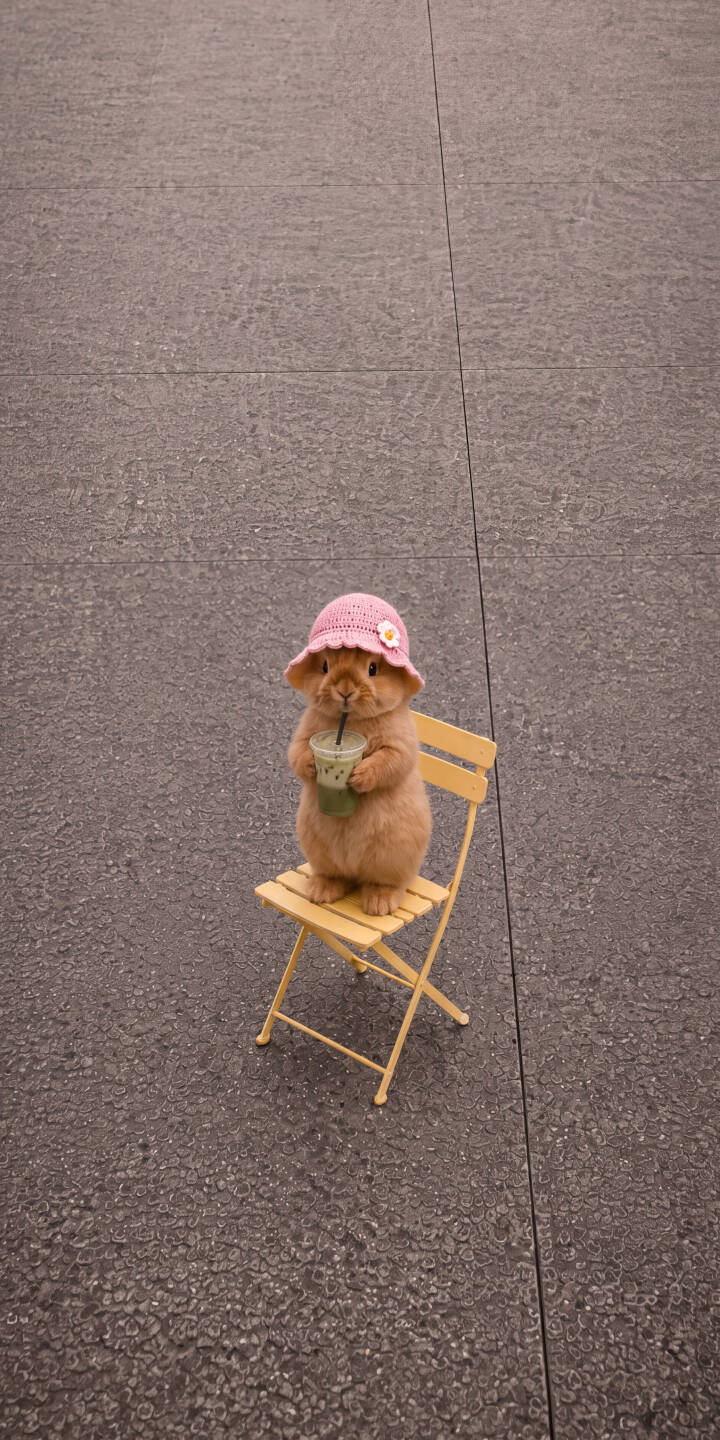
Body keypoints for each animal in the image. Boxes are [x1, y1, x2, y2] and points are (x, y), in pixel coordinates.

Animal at [287, 645, 432, 916]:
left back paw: (379, 904)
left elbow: (391, 761)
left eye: (372, 668)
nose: (345, 690)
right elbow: (297, 753)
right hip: (320, 851)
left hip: (392, 856)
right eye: (325, 666)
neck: (352, 720)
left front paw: (360, 776)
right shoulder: (303, 736)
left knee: (388, 882)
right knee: (336, 876)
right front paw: (312, 765)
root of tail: (355, 871)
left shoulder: (400, 745)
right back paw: (321, 892)